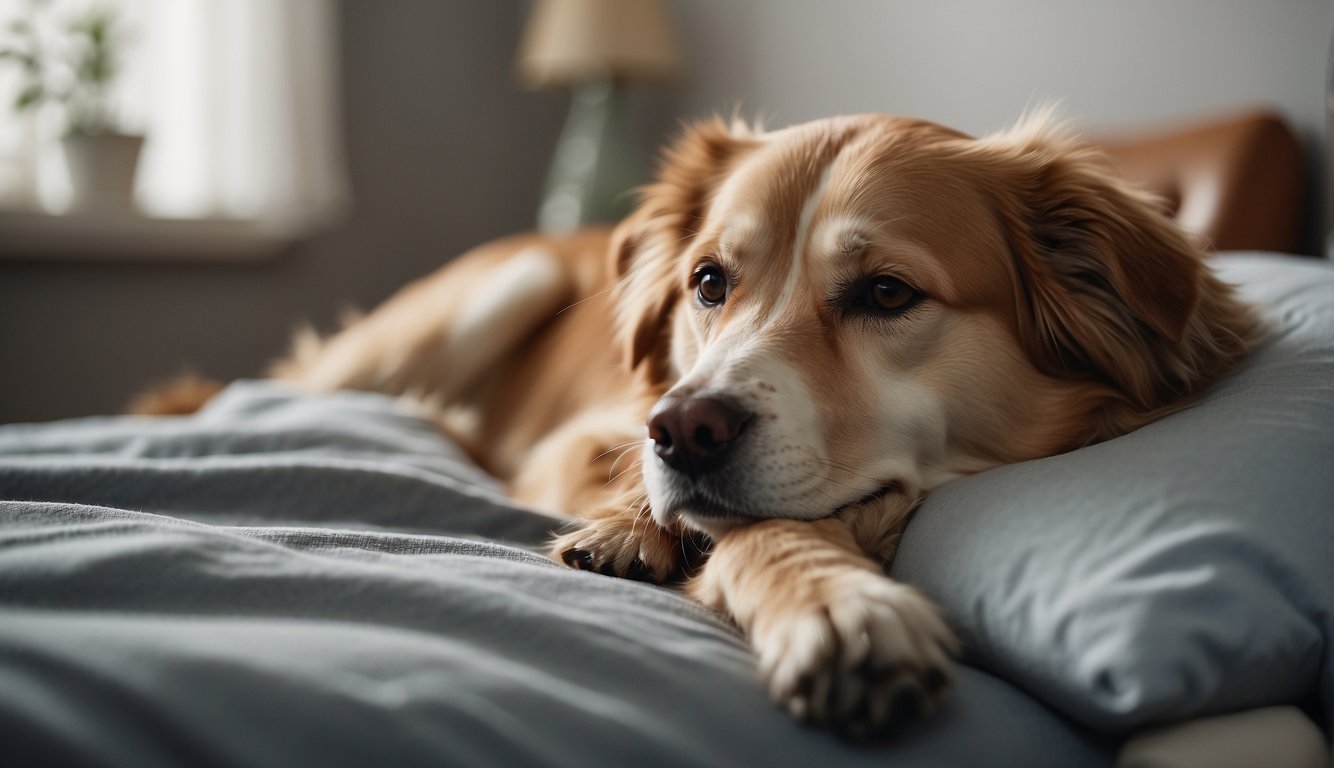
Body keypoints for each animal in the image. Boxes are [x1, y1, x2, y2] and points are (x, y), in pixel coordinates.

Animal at [146, 110, 1259, 736]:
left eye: (887, 293)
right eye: (709, 282)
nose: (678, 434)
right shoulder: (583, 438)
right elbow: (745, 524)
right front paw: (833, 606)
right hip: (483, 293)